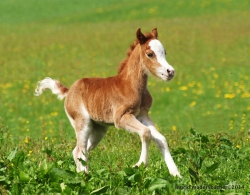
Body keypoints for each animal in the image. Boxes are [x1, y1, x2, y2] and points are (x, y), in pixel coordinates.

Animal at [34, 28, 182, 177]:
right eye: (150, 54)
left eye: (164, 52)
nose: (170, 72)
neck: (130, 85)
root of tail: (69, 91)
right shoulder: (121, 118)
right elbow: (146, 133)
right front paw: (139, 164)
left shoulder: (143, 115)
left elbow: (160, 139)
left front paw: (176, 174)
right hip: (82, 123)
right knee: (80, 150)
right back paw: (83, 176)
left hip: (98, 129)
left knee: (79, 150)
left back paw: (83, 174)